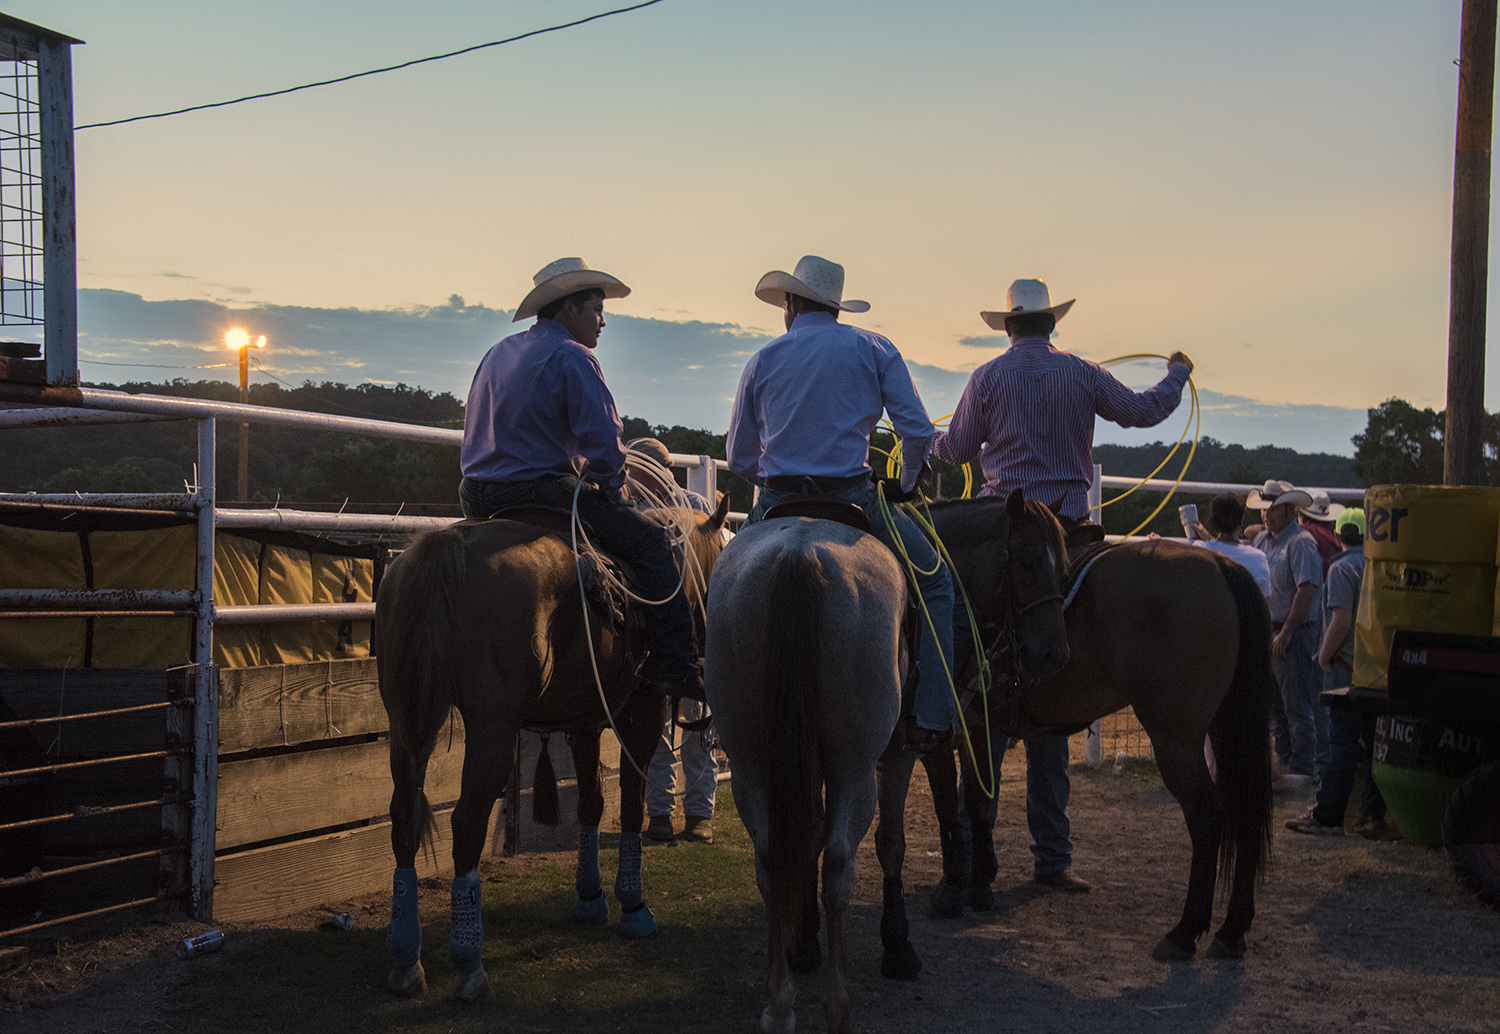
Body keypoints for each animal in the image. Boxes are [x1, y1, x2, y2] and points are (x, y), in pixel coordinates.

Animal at [373, 495, 726, 996]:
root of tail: (446, 548)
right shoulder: (645, 707)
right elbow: (632, 804)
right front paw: (633, 907)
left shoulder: (585, 722)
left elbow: (591, 803)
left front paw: (590, 898)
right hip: (493, 728)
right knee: (467, 822)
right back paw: (469, 962)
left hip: (405, 719)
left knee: (403, 814)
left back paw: (406, 960)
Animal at [708, 489, 1074, 1032]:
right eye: (1027, 561)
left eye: (1064, 567)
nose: (1054, 655)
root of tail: (799, 555)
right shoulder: (905, 751)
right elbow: (894, 841)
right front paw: (899, 942)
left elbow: (810, 835)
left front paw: (805, 940)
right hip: (857, 765)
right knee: (841, 860)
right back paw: (837, 1005)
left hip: (752, 762)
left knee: (773, 855)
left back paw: (779, 1004)